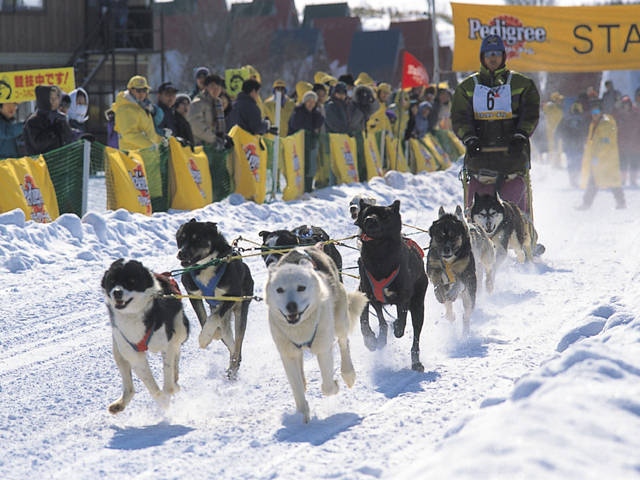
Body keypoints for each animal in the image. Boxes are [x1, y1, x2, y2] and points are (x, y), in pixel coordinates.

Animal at [101, 258, 189, 412]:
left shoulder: (166, 345)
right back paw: (121, 402)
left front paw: (168, 392)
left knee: (176, 352)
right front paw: (163, 401)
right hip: (118, 351)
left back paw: (175, 382)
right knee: (129, 387)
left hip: (180, 330)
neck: (133, 315)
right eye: (112, 281)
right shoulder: (134, 356)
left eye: (131, 281)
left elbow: (168, 374)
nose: (117, 292)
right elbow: (152, 387)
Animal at [176, 219, 256, 380]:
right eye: (181, 239)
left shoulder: (232, 295)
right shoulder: (193, 294)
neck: (206, 266)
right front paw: (212, 334)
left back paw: (233, 368)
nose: (181, 253)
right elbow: (203, 318)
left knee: (237, 344)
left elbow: (213, 319)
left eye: (197, 239)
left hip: (240, 310)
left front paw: (204, 338)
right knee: (230, 342)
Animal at [264, 246, 364, 422]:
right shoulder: (287, 354)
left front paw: (335, 384)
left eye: (301, 287)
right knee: (301, 364)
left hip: (340, 322)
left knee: (344, 343)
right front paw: (303, 415)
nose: (291, 306)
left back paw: (348, 373)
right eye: (279, 290)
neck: (300, 328)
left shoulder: (322, 348)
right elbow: (296, 389)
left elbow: (328, 387)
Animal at [356, 199, 430, 372]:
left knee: (415, 336)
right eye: (367, 212)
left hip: (418, 306)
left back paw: (416, 362)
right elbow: (364, 321)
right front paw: (371, 340)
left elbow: (401, 322)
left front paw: (396, 326)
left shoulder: (403, 297)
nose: (370, 219)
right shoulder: (364, 292)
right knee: (382, 321)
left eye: (384, 215)